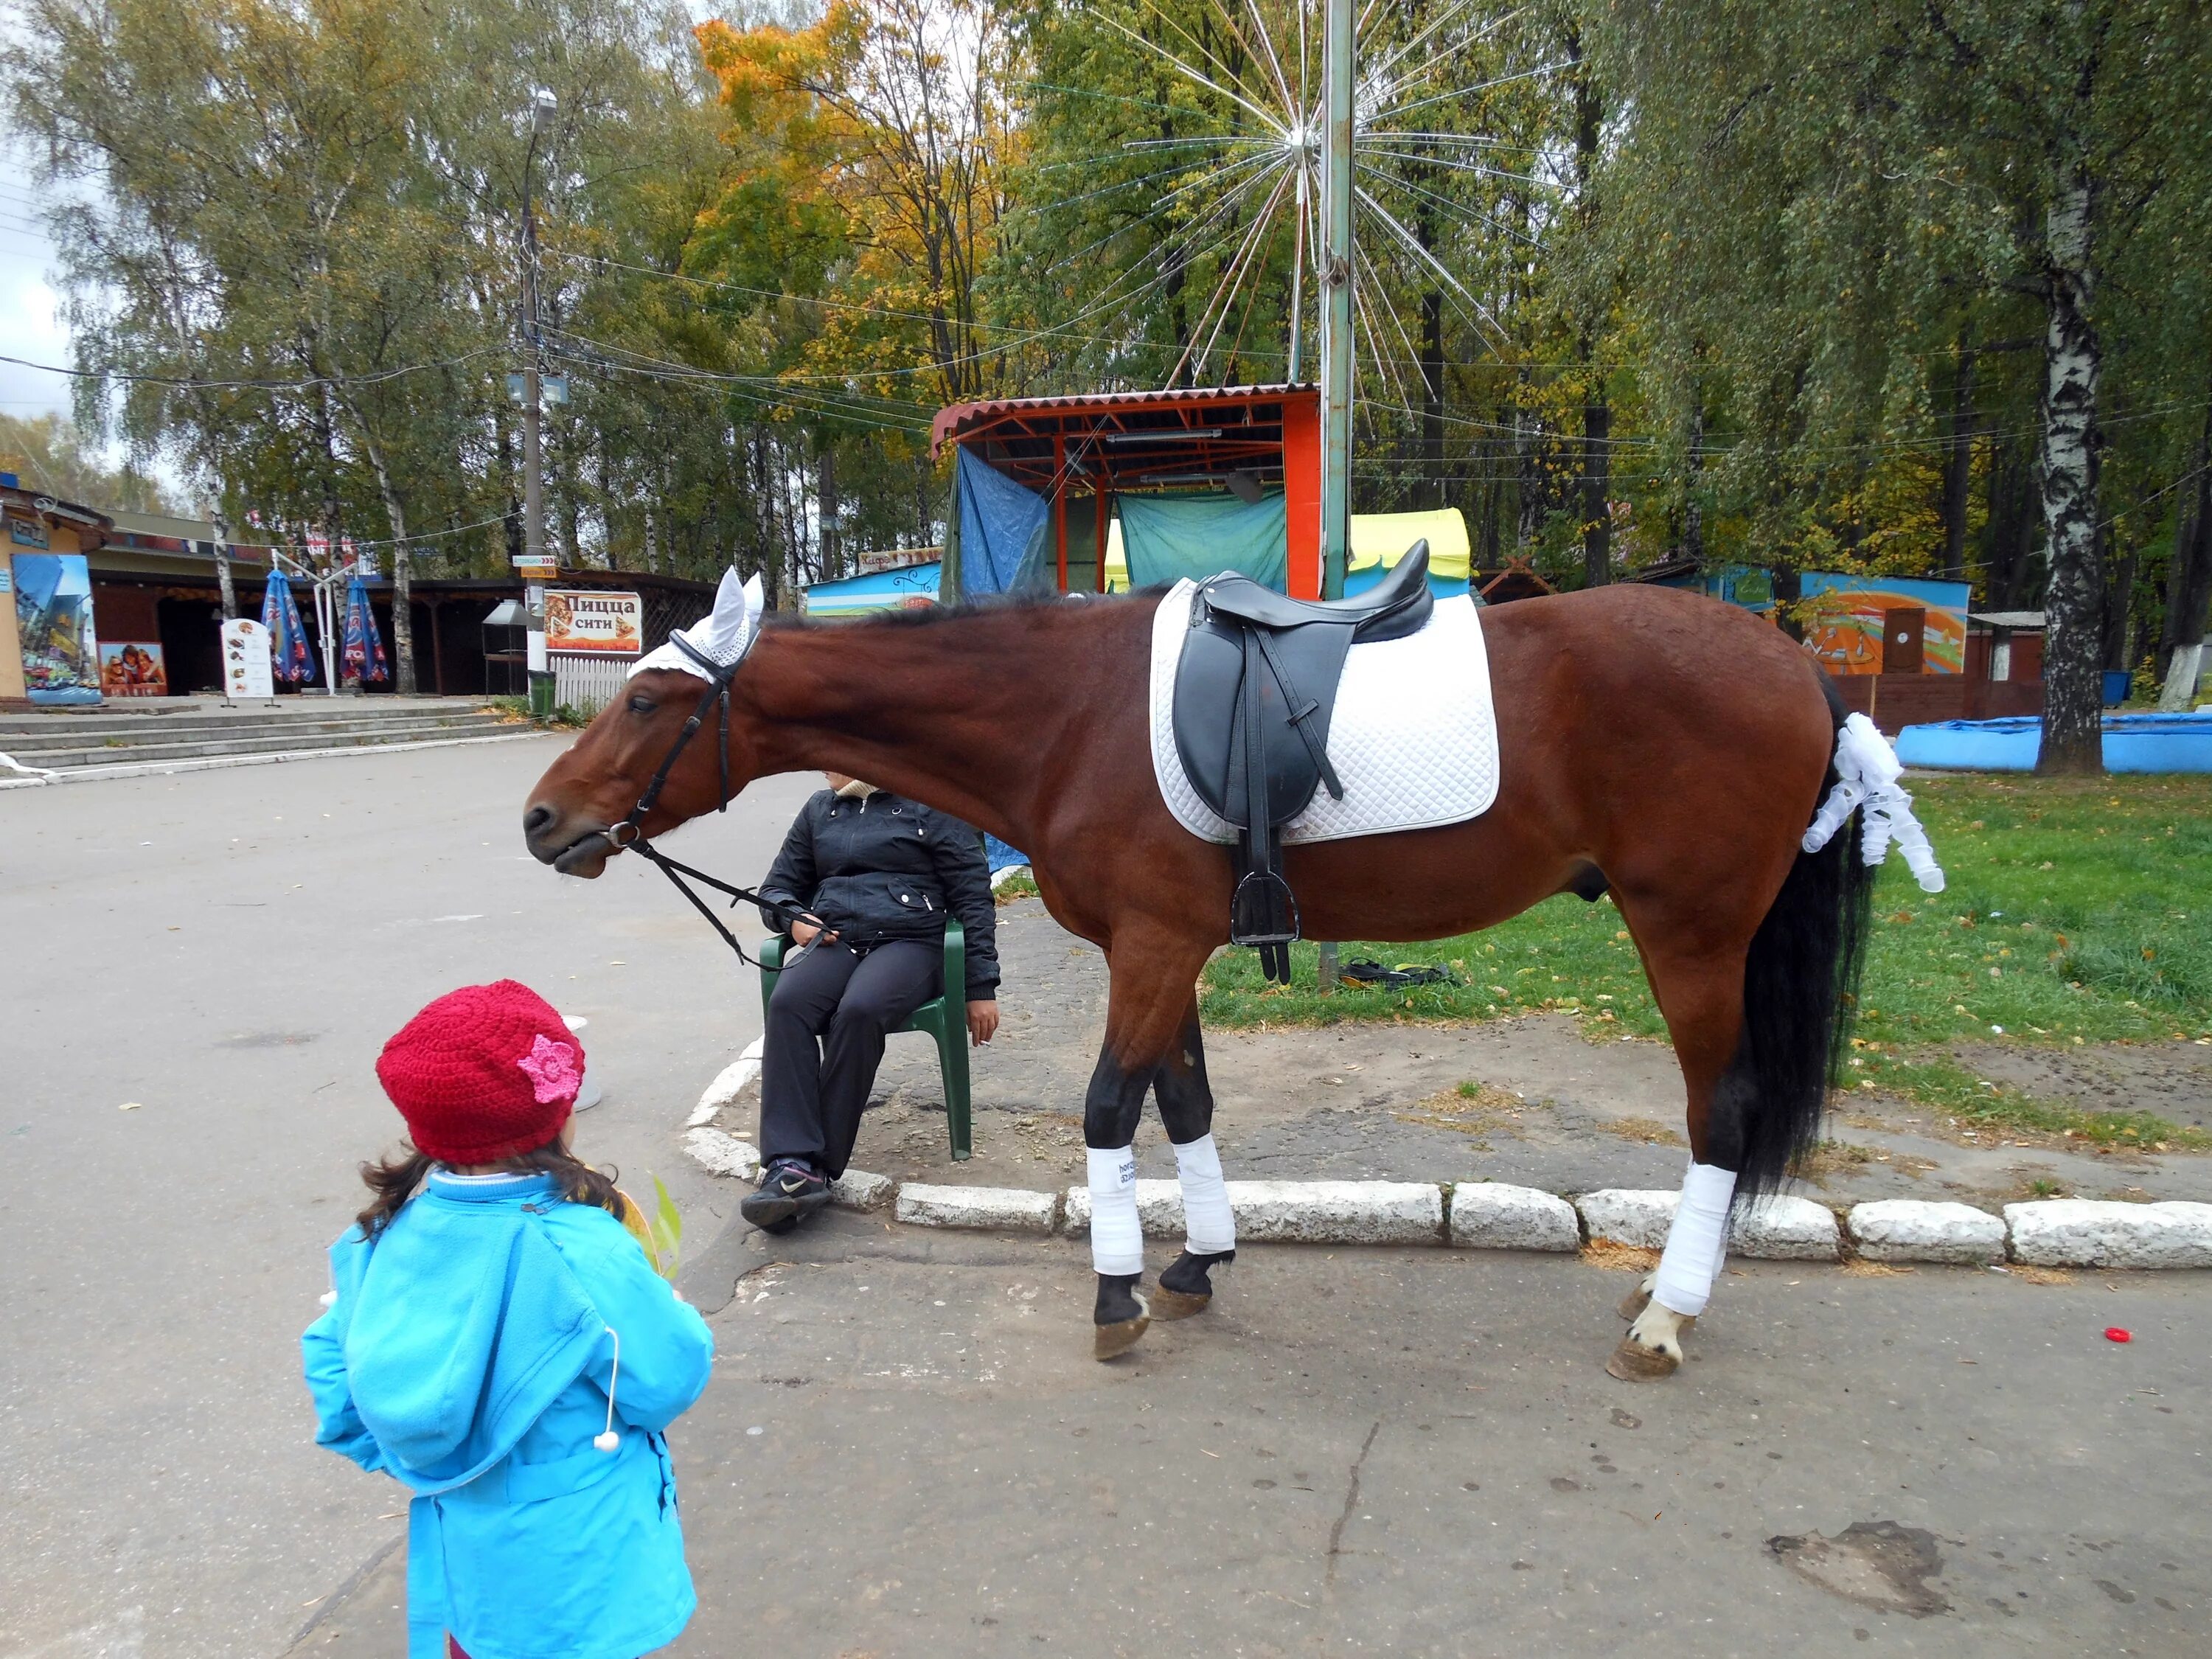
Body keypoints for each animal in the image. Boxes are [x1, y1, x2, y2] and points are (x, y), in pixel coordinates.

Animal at [526, 580, 1876, 1380]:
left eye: (648, 699)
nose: (542, 821)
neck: (1069, 714)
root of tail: (1796, 664)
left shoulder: (1155, 944)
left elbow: (1110, 1111)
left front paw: (1116, 1290)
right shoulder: (1166, 947)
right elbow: (1184, 1104)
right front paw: (1193, 1265)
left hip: (1691, 936)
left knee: (1722, 1116)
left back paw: (1666, 1315)